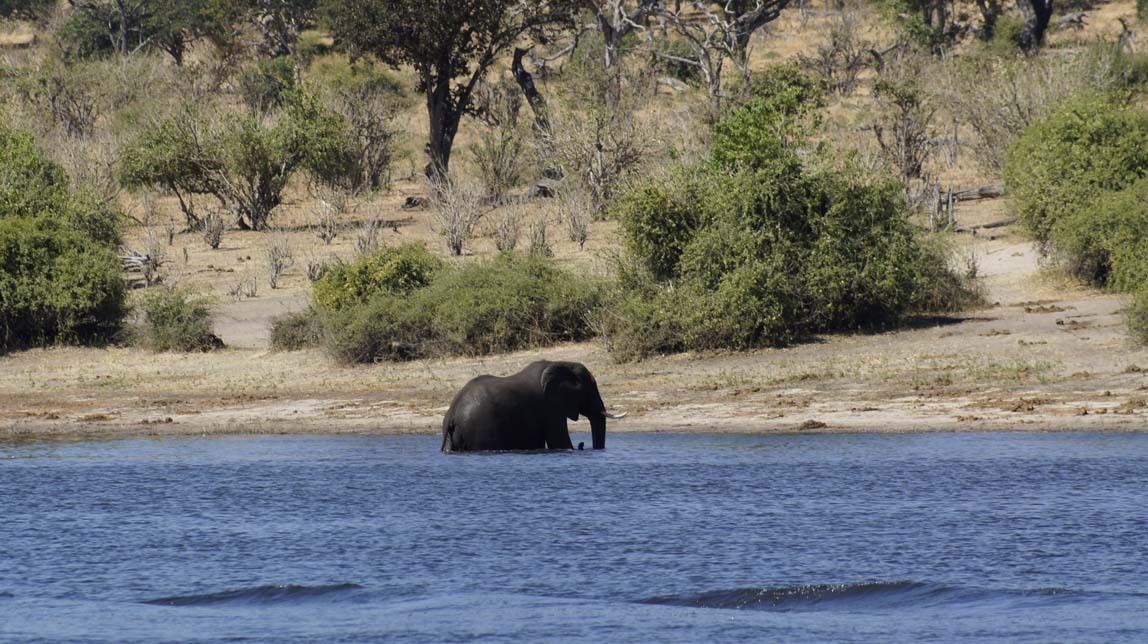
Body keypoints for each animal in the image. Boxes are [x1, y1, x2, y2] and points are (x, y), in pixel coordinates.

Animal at [438, 355, 624, 452]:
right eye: (591, 389)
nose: (582, 445)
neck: (562, 363)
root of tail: (451, 416)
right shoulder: (551, 407)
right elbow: (560, 442)